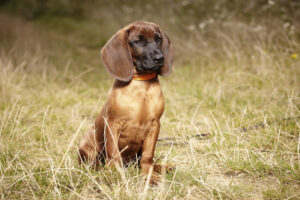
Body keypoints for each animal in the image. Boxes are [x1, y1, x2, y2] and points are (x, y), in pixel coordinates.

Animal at [78, 21, 173, 184]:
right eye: (138, 41)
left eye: (158, 39)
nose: (160, 58)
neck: (141, 86)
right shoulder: (112, 124)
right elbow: (114, 155)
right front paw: (116, 174)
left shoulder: (155, 126)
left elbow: (148, 156)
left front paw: (149, 175)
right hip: (89, 142)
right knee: (93, 163)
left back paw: (162, 167)